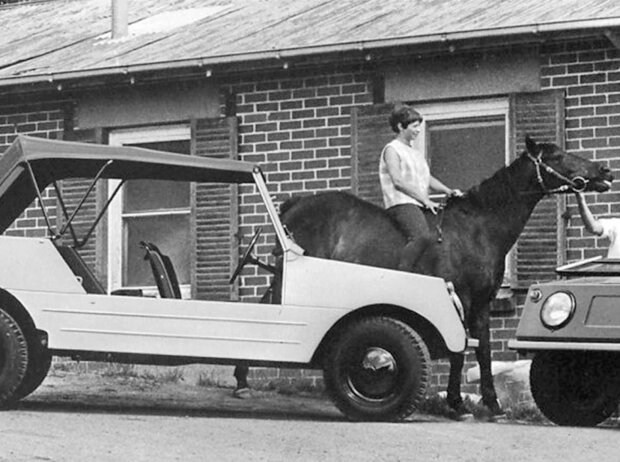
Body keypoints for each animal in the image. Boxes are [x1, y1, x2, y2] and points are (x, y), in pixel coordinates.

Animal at [266, 136, 612, 416]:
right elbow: (459, 350)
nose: (605, 171)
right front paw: (457, 404)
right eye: (556, 156)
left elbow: (483, 347)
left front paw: (492, 404)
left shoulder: (483, 302)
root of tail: (295, 205)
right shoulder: (459, 298)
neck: (476, 228)